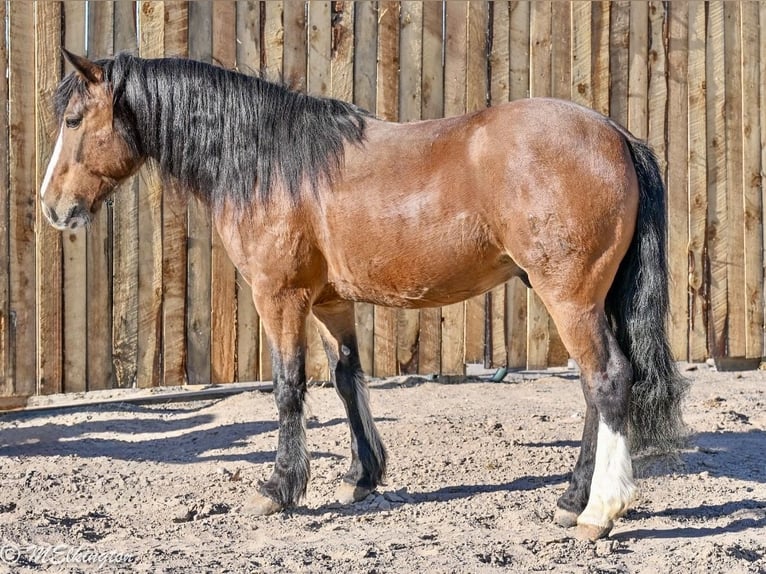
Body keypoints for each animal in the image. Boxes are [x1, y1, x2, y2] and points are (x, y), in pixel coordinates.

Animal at [41, 49, 687, 541]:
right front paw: (362, 475)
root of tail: (615, 134)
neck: (271, 163)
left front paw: (279, 487)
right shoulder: (330, 302)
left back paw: (599, 511)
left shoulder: (279, 296)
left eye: (73, 120)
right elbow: (347, 378)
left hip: (568, 295)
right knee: (594, 388)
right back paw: (572, 498)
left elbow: (288, 388)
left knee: (607, 380)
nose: (52, 208)